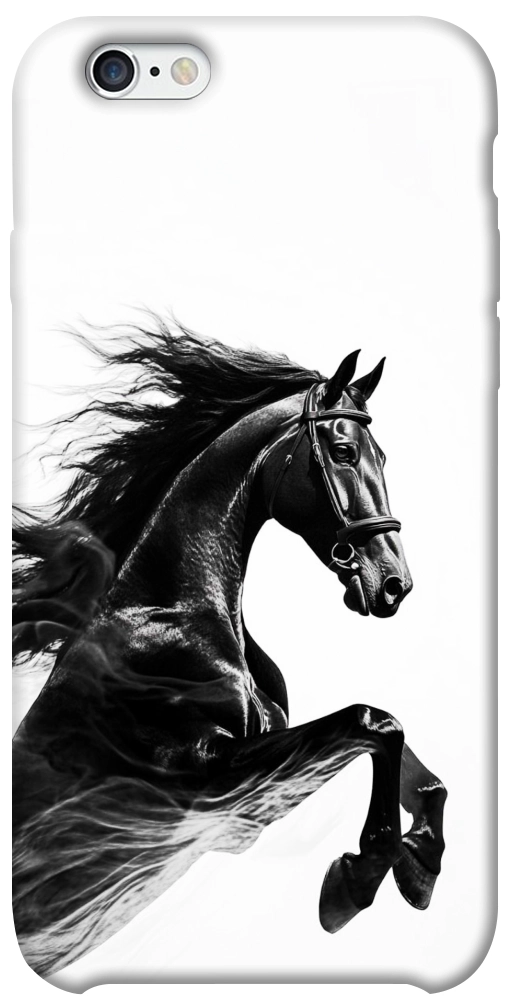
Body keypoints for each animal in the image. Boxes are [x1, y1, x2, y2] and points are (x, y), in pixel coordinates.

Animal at [12, 323, 447, 978]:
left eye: (384, 457)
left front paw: (420, 866)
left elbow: (408, 760)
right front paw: (355, 883)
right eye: (344, 452)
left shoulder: (248, 799)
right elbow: (374, 722)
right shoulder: (206, 781)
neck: (173, 616)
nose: (394, 583)